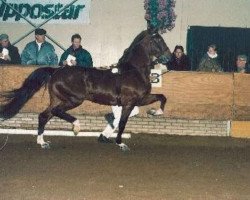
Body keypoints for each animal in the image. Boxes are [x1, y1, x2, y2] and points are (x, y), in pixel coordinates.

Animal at [0, 28, 171, 151]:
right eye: (158, 40)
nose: (168, 58)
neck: (133, 70)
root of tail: (56, 70)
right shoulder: (129, 102)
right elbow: (122, 123)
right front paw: (120, 143)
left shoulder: (140, 99)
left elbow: (162, 97)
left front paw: (155, 112)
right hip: (74, 99)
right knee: (56, 112)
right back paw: (76, 126)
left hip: (57, 98)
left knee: (44, 115)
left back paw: (42, 142)